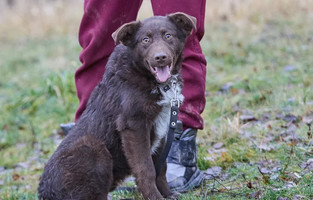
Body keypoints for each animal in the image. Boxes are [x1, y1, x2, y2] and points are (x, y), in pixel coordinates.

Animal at [37, 12, 195, 200]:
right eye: (145, 40)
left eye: (168, 36)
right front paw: (154, 197)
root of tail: (44, 193)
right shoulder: (133, 126)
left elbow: (161, 168)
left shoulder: (162, 127)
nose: (160, 57)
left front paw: (167, 194)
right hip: (92, 147)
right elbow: (146, 169)